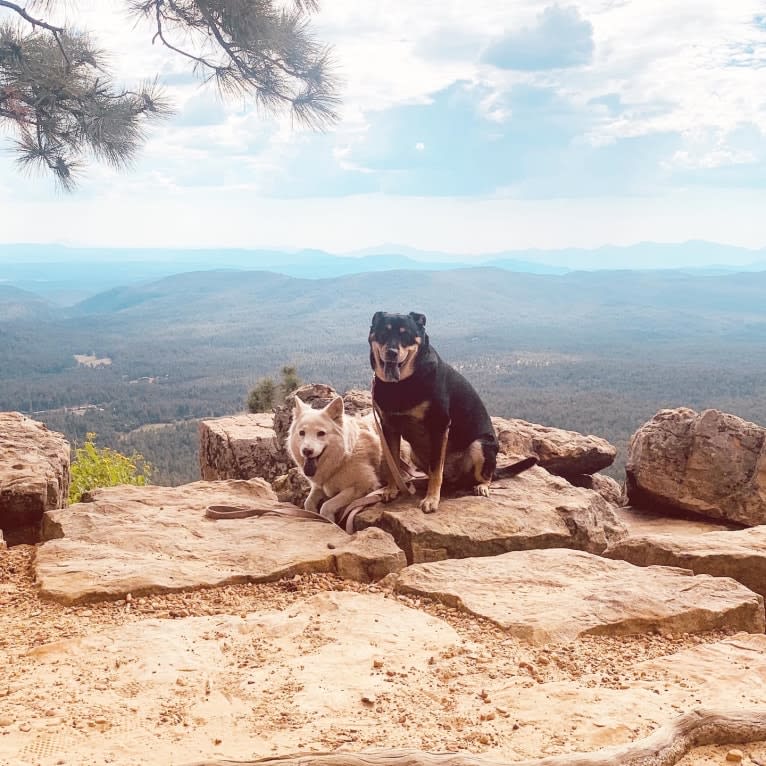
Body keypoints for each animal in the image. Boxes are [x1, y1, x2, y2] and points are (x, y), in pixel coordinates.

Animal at [368, 312, 536, 516]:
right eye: (383, 332)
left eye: (405, 334)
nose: (391, 352)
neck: (401, 384)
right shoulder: (389, 426)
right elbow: (392, 463)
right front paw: (392, 490)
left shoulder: (439, 426)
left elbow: (436, 470)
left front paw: (431, 500)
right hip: (417, 454)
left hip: (480, 446)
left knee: (485, 475)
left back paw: (481, 486)